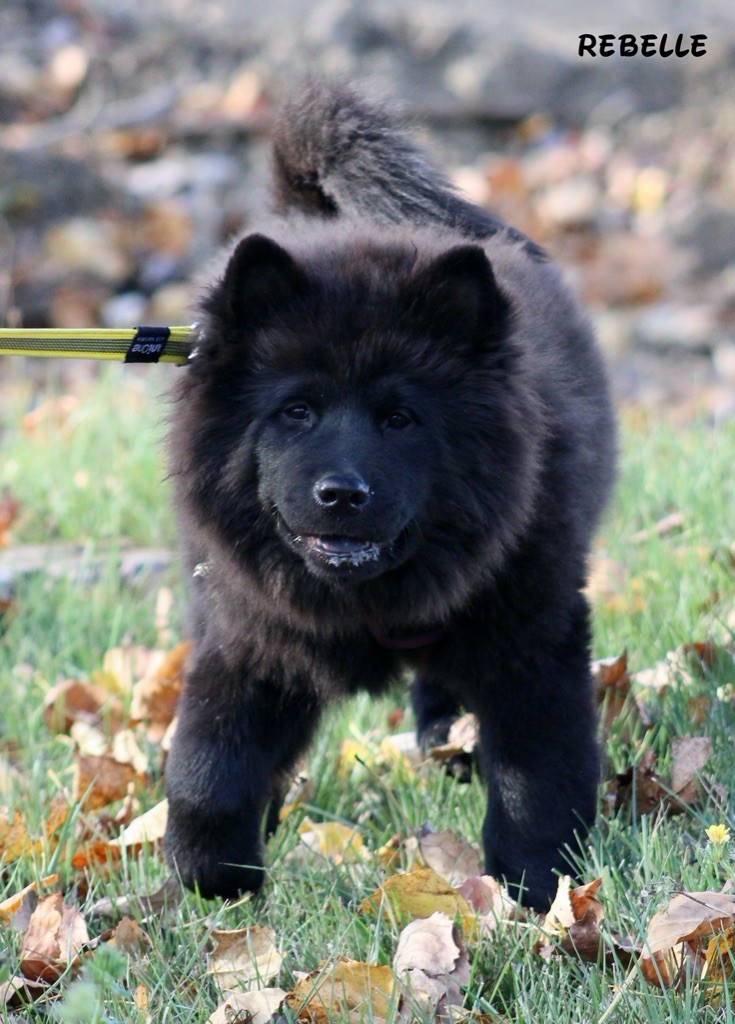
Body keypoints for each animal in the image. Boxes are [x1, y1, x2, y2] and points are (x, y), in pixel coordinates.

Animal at [163, 81, 618, 913]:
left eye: (400, 419)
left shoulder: (533, 639)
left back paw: (448, 749)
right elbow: (209, 764)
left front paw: (538, 891)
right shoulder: (247, 633)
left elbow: (536, 778)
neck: (367, 603)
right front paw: (213, 886)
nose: (341, 493)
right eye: (296, 411)